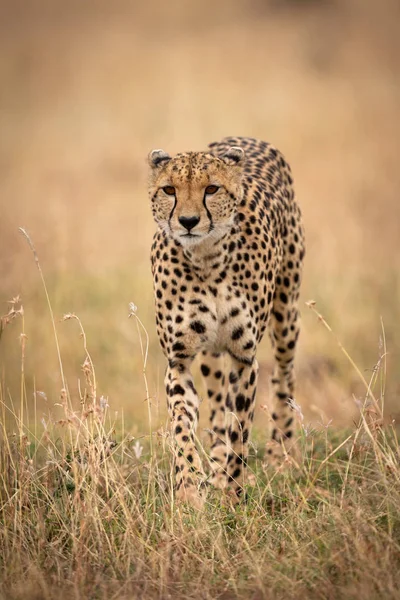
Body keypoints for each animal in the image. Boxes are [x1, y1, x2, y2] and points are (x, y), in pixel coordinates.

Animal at [148, 136, 304, 506]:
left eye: (212, 189)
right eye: (169, 190)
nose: (188, 221)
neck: (206, 258)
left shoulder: (244, 358)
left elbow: (240, 430)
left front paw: (233, 491)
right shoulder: (179, 360)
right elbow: (183, 427)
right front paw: (190, 490)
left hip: (286, 315)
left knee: (284, 376)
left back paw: (280, 455)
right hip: (211, 355)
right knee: (218, 404)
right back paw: (216, 465)